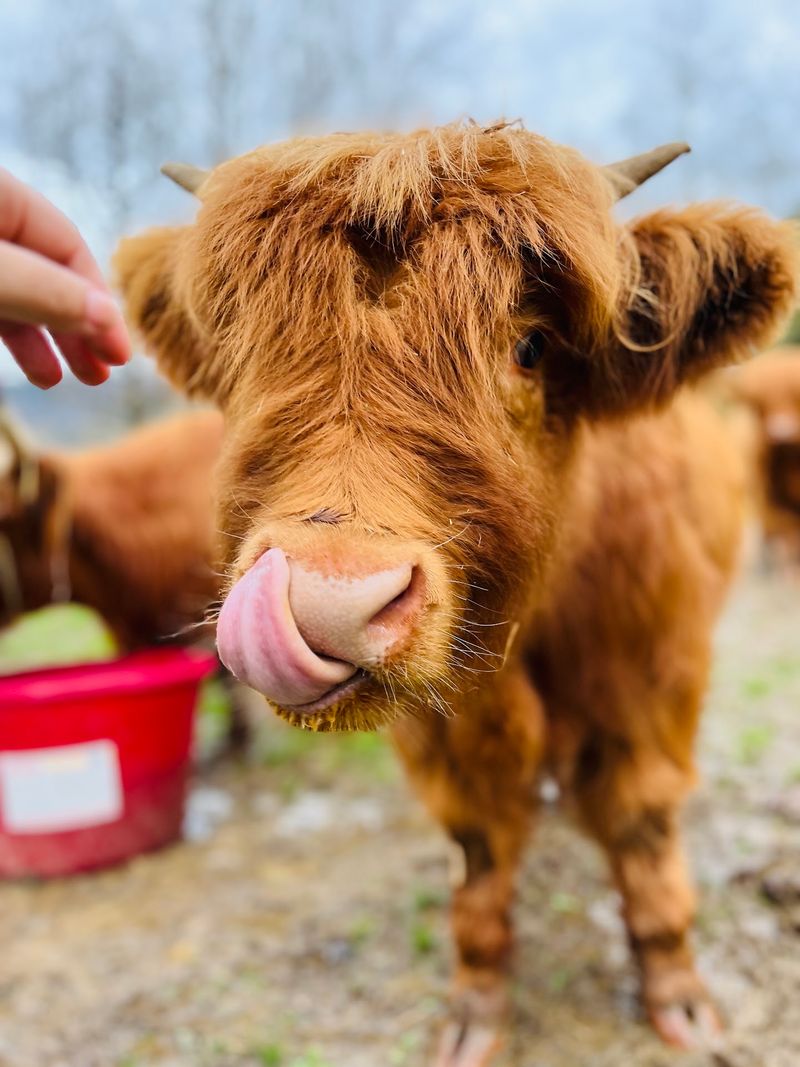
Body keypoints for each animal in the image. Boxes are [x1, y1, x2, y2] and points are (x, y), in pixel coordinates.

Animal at [114, 122, 799, 1065]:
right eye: (246, 349)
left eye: (531, 345)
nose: (327, 599)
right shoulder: (456, 733)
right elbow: (478, 860)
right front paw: (476, 1010)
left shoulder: (646, 684)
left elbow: (642, 831)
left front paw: (679, 996)